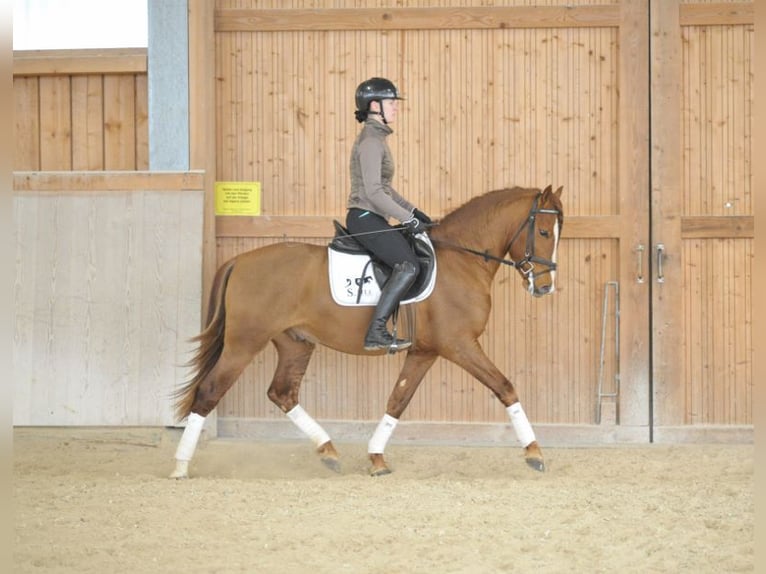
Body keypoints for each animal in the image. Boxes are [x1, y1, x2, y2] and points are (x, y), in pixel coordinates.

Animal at [170, 186, 564, 482]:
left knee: (282, 393)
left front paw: (376, 458)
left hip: (295, 343)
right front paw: (534, 453)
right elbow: (505, 387)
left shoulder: (424, 352)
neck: (461, 260)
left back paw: (328, 452)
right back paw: (180, 467)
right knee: (209, 391)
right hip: (244, 343)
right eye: (544, 232)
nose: (544, 287)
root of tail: (240, 260)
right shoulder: (460, 345)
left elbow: (397, 401)